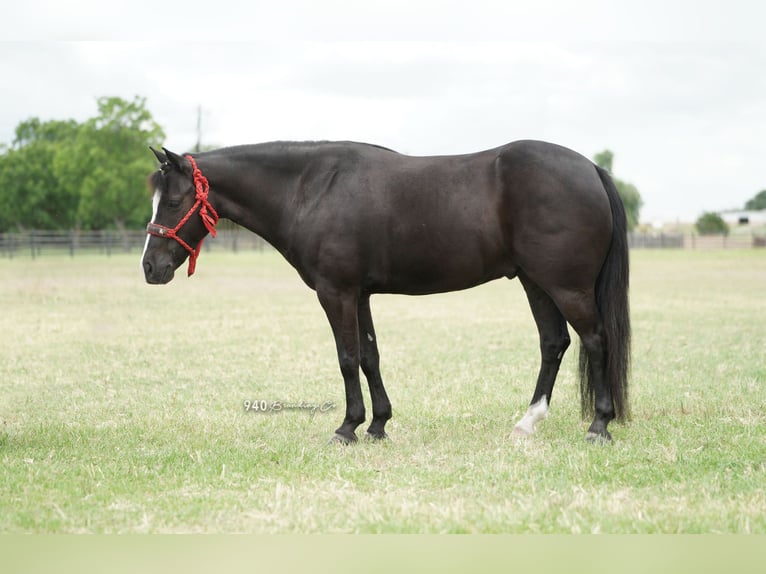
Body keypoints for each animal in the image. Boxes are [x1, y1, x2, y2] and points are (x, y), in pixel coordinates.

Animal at [142, 141, 632, 446]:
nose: (150, 268)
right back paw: (528, 423)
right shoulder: (359, 295)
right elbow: (369, 355)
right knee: (554, 343)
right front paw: (378, 425)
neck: (312, 188)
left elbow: (346, 358)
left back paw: (598, 425)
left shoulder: (335, 292)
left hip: (565, 286)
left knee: (595, 340)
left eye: (173, 202)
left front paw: (347, 428)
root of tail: (591, 168)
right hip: (535, 282)